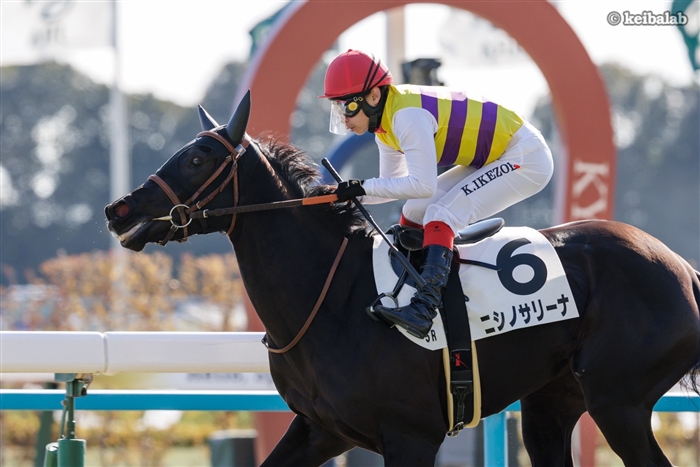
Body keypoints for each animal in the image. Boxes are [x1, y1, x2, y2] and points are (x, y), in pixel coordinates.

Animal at [105, 92, 700, 467]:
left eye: (200, 157)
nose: (118, 208)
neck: (332, 297)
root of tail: (680, 267)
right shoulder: (320, 429)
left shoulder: (411, 436)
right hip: (552, 405)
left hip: (619, 402)